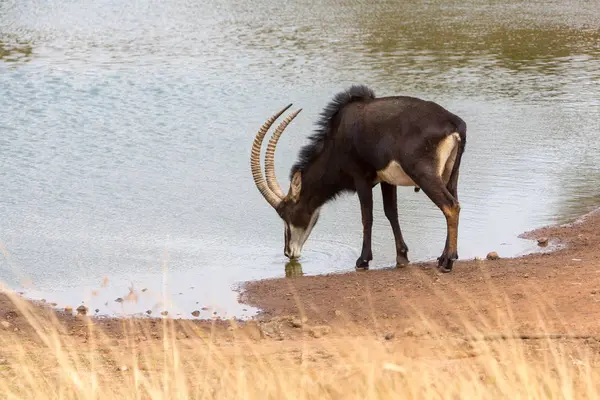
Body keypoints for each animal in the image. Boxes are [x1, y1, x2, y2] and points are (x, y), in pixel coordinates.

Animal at [251, 84, 466, 272]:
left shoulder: (361, 178)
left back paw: (447, 262)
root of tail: (454, 122)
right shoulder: (387, 180)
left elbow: (367, 216)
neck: (338, 134)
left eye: (287, 213)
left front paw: (363, 260)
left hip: (424, 174)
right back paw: (445, 257)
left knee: (450, 206)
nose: (288, 252)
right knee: (454, 201)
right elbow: (391, 213)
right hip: (450, 175)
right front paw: (402, 256)